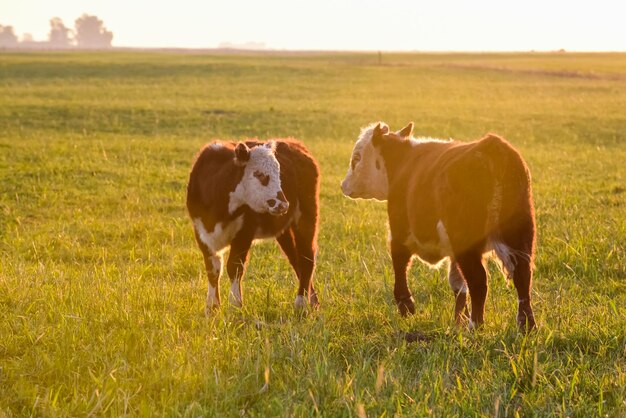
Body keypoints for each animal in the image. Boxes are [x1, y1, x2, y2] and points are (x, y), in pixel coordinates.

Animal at [186, 139, 320, 312]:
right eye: (259, 174)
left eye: (279, 173)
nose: (283, 205)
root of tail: (295, 143)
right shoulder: (201, 233)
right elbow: (213, 270)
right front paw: (212, 308)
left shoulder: (244, 233)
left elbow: (234, 267)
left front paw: (236, 305)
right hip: (284, 230)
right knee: (295, 259)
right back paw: (313, 301)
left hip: (306, 217)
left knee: (306, 258)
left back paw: (301, 304)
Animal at [342, 122, 536, 332]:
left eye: (356, 158)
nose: (344, 185)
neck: (403, 164)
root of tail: (491, 148)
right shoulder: (453, 252)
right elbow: (457, 283)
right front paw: (459, 320)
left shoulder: (399, 232)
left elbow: (400, 265)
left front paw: (406, 306)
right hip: (520, 236)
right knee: (522, 277)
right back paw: (526, 325)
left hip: (467, 243)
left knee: (479, 280)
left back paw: (475, 325)